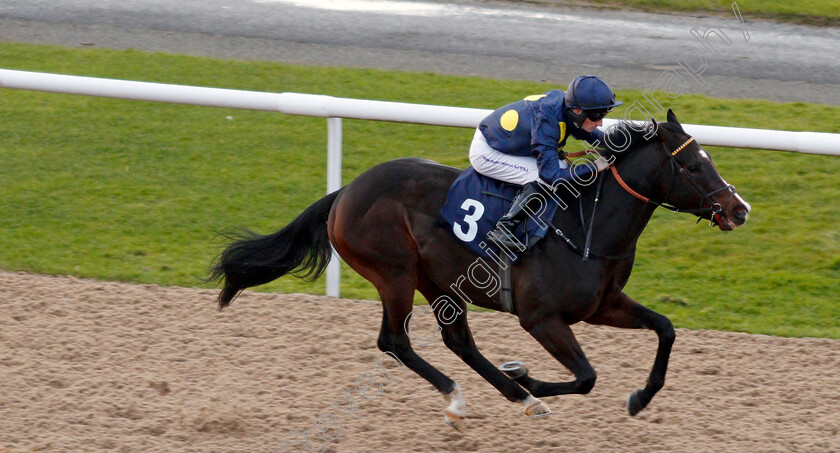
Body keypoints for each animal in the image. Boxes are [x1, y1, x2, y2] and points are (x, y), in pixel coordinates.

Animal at [210, 109, 748, 428]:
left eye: (708, 159)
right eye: (694, 167)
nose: (739, 209)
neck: (586, 224)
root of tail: (345, 193)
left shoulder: (603, 305)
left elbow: (666, 328)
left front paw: (640, 398)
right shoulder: (541, 318)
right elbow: (587, 376)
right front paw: (529, 376)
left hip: (438, 281)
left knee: (457, 341)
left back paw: (514, 395)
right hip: (396, 274)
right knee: (395, 341)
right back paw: (470, 396)